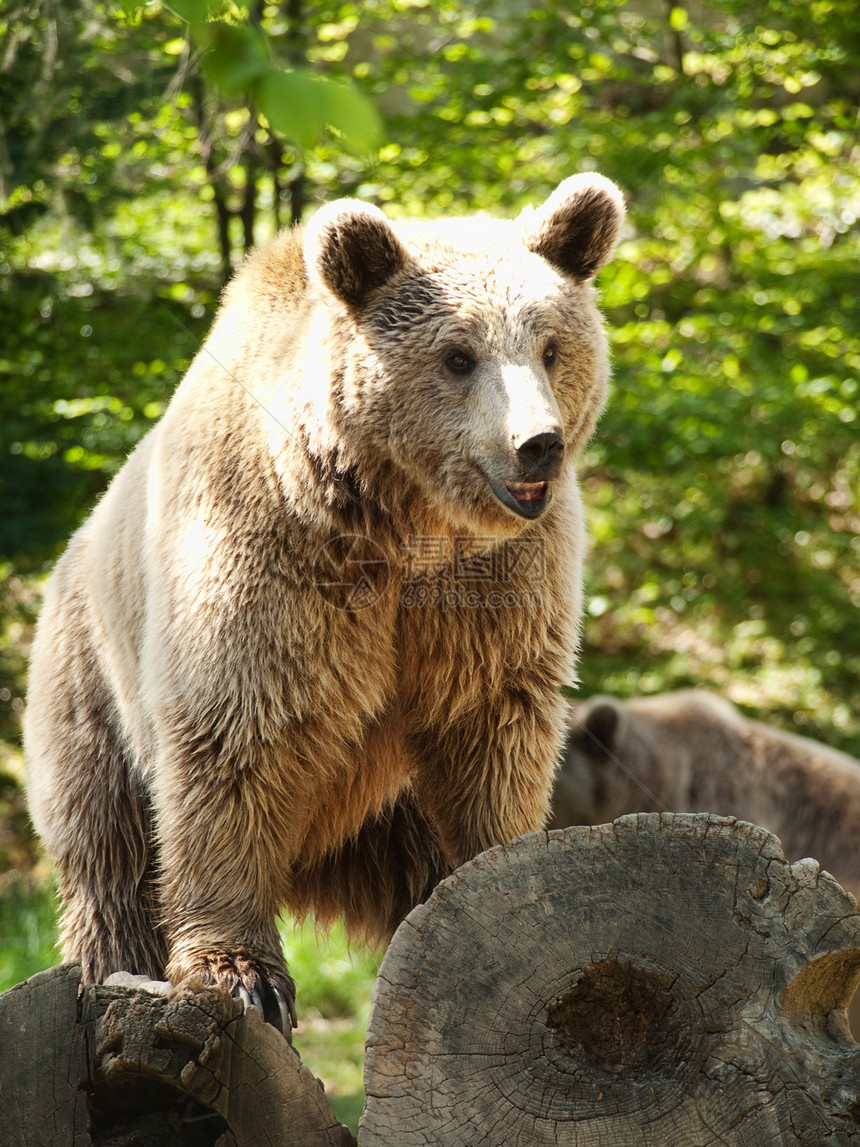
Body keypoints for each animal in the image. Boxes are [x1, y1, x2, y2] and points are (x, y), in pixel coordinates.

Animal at [21, 174, 628, 1036]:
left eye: (550, 346)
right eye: (458, 354)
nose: (536, 443)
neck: (410, 530)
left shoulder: (491, 591)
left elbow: (493, 734)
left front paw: (507, 885)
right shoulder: (273, 562)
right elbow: (236, 740)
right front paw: (242, 972)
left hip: (386, 813)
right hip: (90, 685)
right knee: (110, 855)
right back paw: (111, 962)